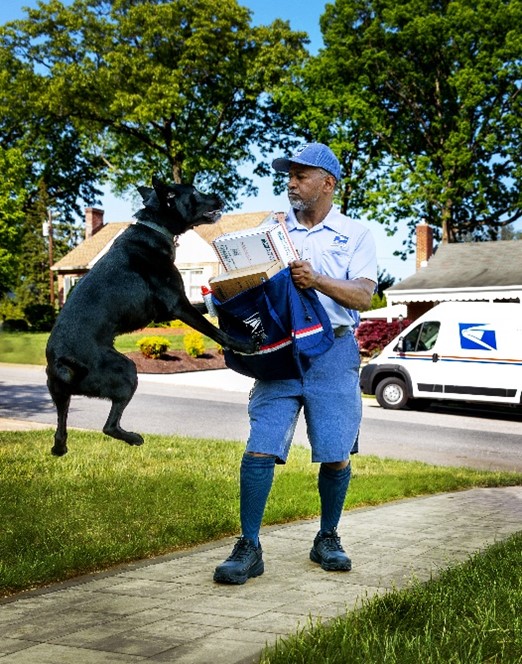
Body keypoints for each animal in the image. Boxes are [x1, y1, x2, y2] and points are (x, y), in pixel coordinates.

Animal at [46, 178, 256, 456]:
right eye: (195, 191)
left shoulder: (175, 306)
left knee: (60, 433)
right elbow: (215, 331)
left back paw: (62, 448)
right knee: (108, 426)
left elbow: (215, 309)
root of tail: (61, 362)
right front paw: (245, 344)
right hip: (127, 370)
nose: (219, 197)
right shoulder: (177, 305)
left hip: (61, 395)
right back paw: (135, 438)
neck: (155, 228)